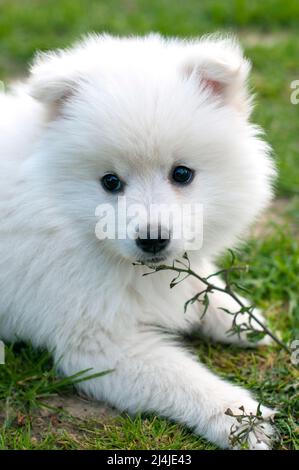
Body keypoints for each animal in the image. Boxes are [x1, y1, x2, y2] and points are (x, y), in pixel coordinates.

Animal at [0, 35, 276, 450]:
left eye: (182, 174)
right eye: (110, 182)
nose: (153, 240)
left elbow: (204, 288)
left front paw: (244, 319)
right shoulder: (99, 342)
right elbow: (182, 378)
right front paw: (241, 419)